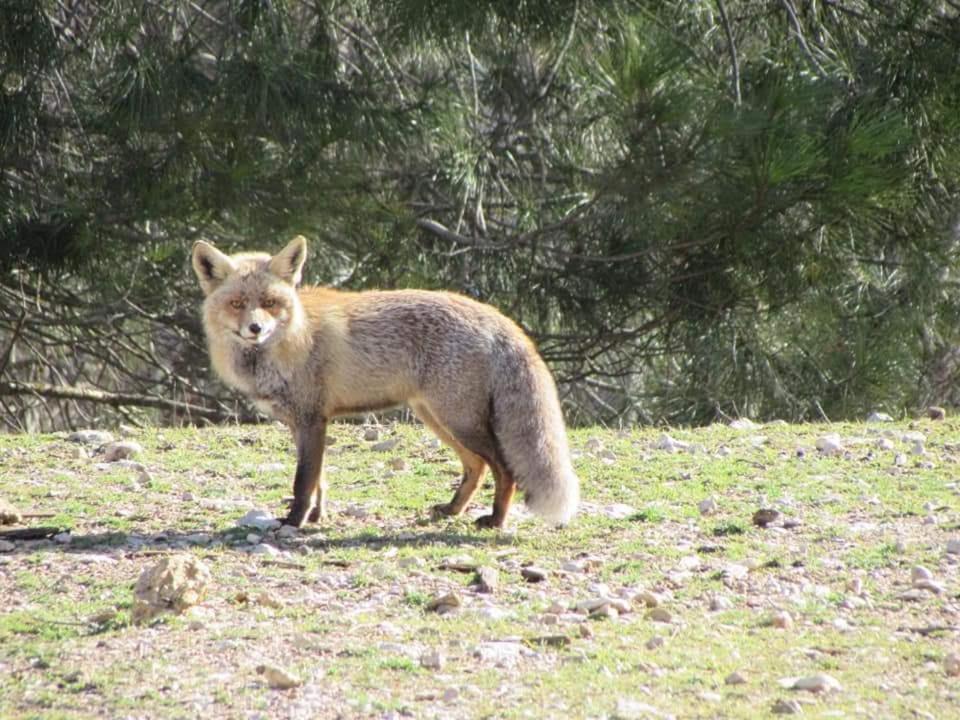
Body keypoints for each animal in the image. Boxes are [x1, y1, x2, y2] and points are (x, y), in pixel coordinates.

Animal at [191, 238, 572, 528]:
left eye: (270, 303)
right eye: (237, 303)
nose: (255, 328)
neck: (292, 339)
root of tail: (498, 316)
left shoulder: (312, 419)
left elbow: (303, 482)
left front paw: (294, 522)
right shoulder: (302, 424)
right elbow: (319, 481)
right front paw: (315, 517)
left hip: (459, 421)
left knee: (504, 470)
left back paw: (495, 520)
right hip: (437, 418)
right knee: (475, 467)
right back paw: (452, 510)